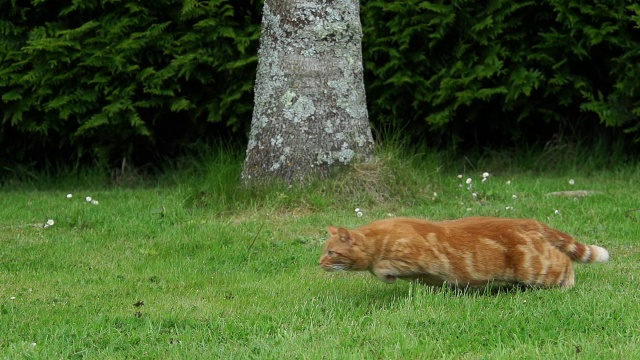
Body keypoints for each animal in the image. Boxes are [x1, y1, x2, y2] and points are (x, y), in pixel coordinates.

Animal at [320, 217, 608, 290]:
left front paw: (387, 276)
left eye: (331, 252)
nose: (319, 262)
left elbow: (382, 267)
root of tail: (528, 221)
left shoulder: (418, 256)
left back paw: (567, 285)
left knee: (564, 262)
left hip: (534, 267)